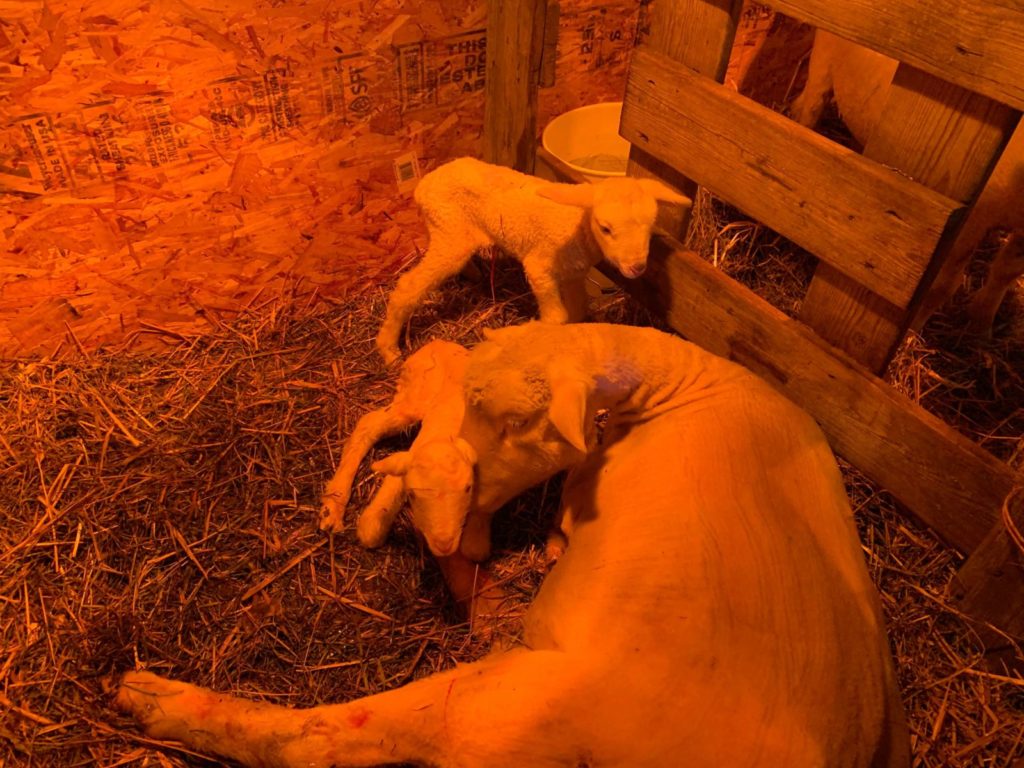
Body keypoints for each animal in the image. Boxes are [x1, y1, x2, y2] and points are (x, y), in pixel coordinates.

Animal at [116, 321, 909, 765]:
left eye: (510, 420)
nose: (456, 533)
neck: (685, 385)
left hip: (503, 711)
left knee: (319, 738)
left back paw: (152, 696)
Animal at [374, 157, 688, 364]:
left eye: (651, 225)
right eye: (606, 228)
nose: (636, 267)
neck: (578, 226)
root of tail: (423, 185)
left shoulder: (573, 274)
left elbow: (577, 310)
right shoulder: (539, 266)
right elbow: (557, 316)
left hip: (449, 230)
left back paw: (475, 275)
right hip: (448, 231)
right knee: (409, 285)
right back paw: (388, 349)